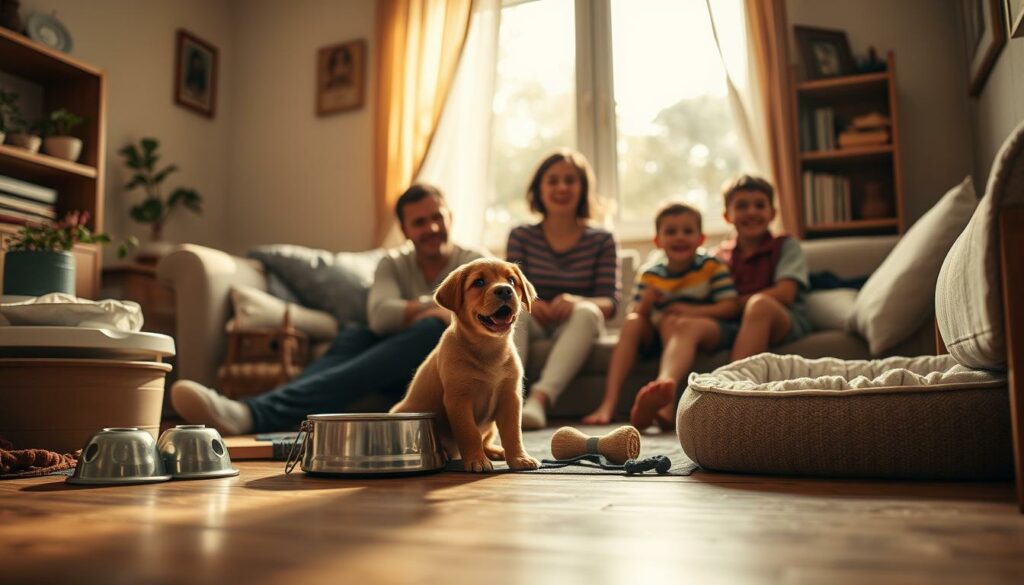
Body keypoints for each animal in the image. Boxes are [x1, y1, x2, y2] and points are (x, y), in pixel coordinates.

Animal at [387, 258, 540, 473]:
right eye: (479, 282)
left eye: (511, 280)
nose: (504, 290)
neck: (489, 348)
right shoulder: (459, 398)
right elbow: (469, 432)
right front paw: (477, 461)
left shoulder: (511, 396)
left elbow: (513, 432)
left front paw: (519, 458)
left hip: (491, 425)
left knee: (487, 439)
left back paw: (496, 451)